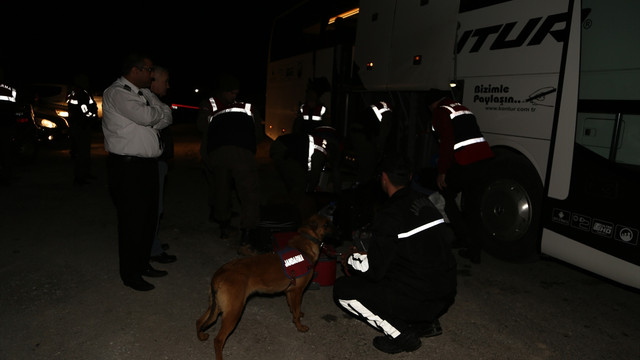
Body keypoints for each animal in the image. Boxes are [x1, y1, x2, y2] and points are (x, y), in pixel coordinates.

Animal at [195, 214, 336, 360]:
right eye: (326, 224)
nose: (339, 231)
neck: (306, 242)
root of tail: (219, 273)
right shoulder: (297, 291)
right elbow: (296, 311)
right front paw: (300, 327)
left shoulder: (290, 291)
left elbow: (294, 308)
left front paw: (297, 315)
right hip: (234, 311)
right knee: (218, 340)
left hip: (216, 307)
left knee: (199, 321)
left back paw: (201, 336)